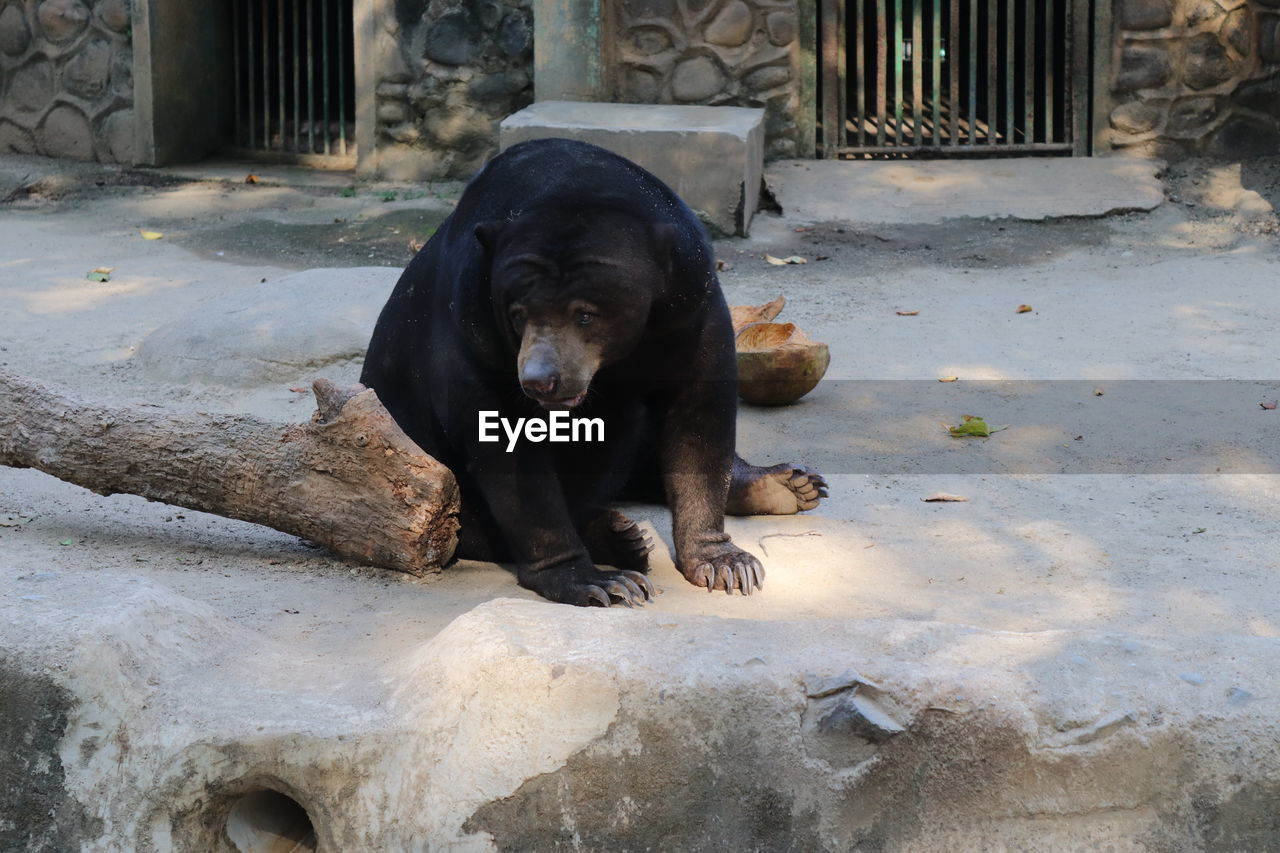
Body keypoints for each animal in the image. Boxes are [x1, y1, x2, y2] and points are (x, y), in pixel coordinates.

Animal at [360, 137, 824, 604]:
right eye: (517, 314)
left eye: (585, 314)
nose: (539, 380)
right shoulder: (473, 323)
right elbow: (505, 446)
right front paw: (596, 581)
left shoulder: (692, 304)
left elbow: (700, 413)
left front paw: (725, 564)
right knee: (465, 524)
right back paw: (620, 539)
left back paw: (788, 485)